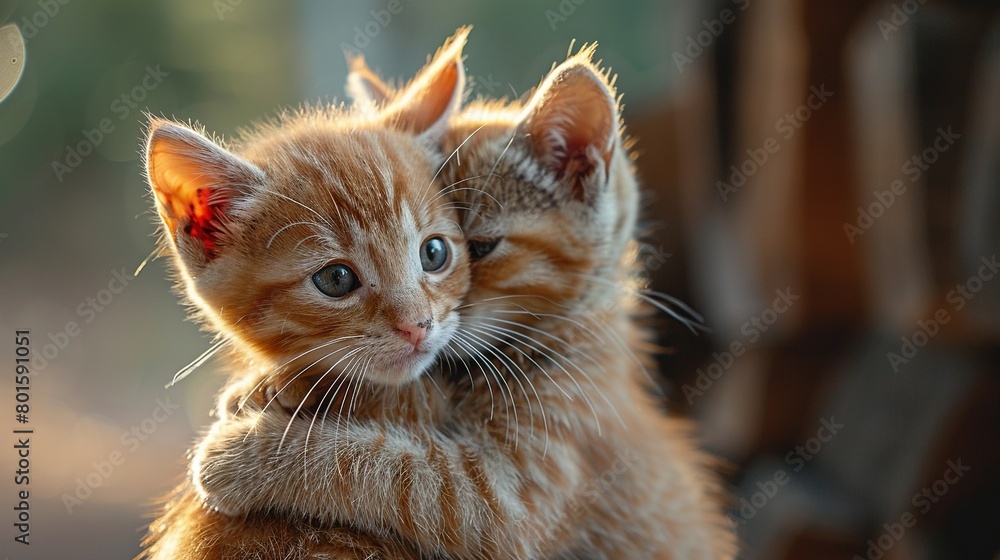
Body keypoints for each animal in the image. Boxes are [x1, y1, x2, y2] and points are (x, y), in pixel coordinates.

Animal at [189, 34, 736, 556]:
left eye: (474, 248)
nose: (425, 322)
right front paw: (275, 384)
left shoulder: (512, 493)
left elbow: (386, 468)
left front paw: (245, 452)